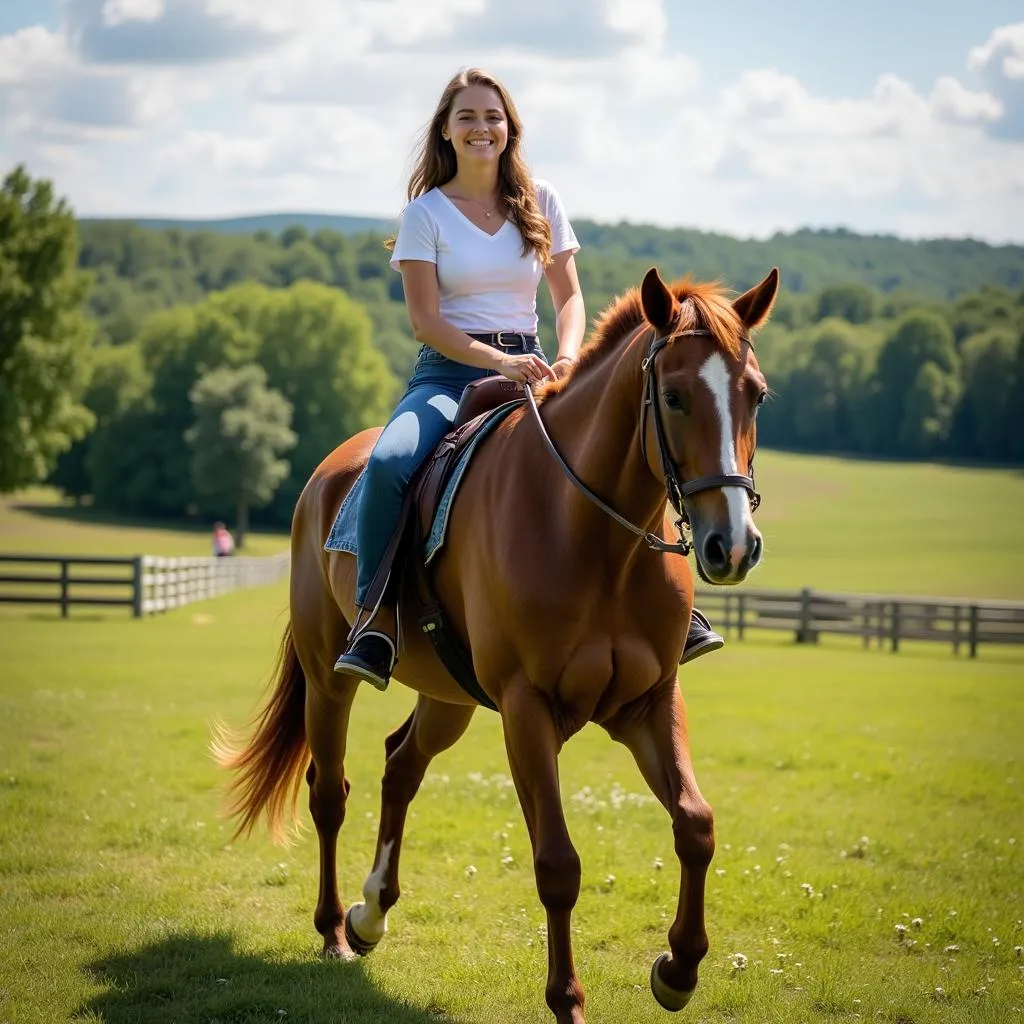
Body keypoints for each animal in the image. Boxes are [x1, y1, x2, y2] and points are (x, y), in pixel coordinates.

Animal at [216, 266, 774, 1024]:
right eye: (677, 396)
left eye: (756, 393)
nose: (733, 546)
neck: (592, 535)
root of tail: (324, 478)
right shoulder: (526, 708)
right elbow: (558, 864)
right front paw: (569, 1001)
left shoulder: (650, 701)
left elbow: (696, 824)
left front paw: (678, 970)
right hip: (330, 680)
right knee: (330, 792)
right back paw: (334, 930)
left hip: (448, 696)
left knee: (401, 765)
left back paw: (370, 914)